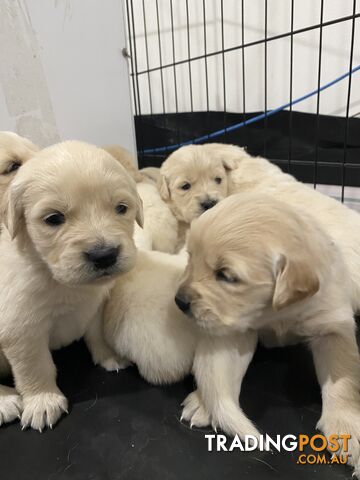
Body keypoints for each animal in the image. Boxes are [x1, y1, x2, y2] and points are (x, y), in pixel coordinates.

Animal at [0, 141, 143, 430]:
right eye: (54, 218)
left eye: (121, 208)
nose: (104, 255)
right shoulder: (21, 329)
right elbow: (35, 366)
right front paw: (43, 400)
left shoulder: (95, 306)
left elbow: (97, 333)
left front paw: (109, 355)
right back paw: (4, 401)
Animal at [177, 193, 360, 474]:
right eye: (190, 257)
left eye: (225, 276)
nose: (179, 301)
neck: (275, 313)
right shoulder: (240, 330)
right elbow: (226, 373)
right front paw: (204, 401)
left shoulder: (333, 325)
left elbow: (342, 381)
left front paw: (346, 427)